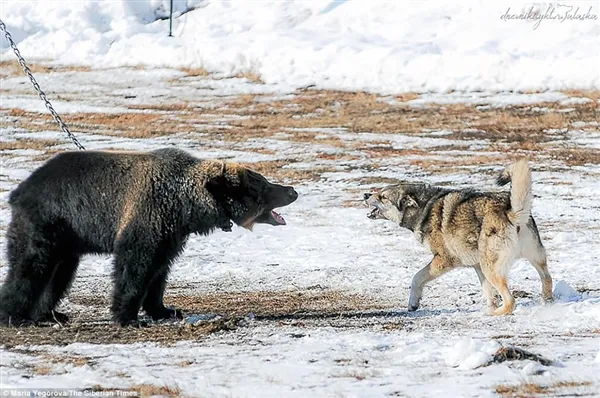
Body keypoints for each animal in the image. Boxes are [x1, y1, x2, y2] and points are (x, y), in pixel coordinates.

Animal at [0, 148, 298, 324]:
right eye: (261, 185)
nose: (292, 190)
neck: (185, 205)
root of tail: (19, 191)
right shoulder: (147, 218)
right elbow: (134, 267)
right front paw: (127, 316)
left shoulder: (170, 234)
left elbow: (159, 270)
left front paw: (164, 308)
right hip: (49, 224)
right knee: (31, 267)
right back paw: (15, 315)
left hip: (68, 239)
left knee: (59, 274)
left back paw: (50, 313)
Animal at [364, 159, 552, 314]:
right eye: (379, 192)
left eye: (383, 197)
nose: (365, 195)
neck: (425, 210)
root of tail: (511, 212)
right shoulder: (477, 266)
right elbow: (489, 294)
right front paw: (490, 305)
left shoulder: (443, 260)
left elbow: (416, 277)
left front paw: (413, 304)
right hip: (532, 259)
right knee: (547, 279)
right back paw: (546, 303)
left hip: (492, 268)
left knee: (511, 301)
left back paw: (491, 315)